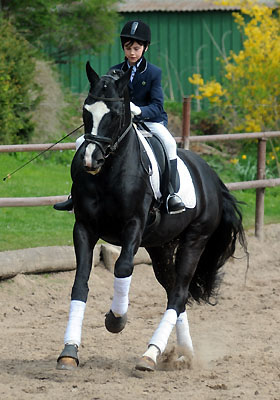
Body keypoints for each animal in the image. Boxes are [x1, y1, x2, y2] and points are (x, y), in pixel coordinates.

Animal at [57, 61, 247, 372]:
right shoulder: (84, 227)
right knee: (174, 293)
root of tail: (210, 175)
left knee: (179, 293)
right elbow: (80, 281)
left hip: (194, 240)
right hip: (161, 246)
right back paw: (182, 353)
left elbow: (123, 268)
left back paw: (150, 354)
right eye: (86, 111)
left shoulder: (134, 225)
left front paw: (116, 319)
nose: (90, 160)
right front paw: (69, 351)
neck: (109, 175)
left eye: (115, 114)